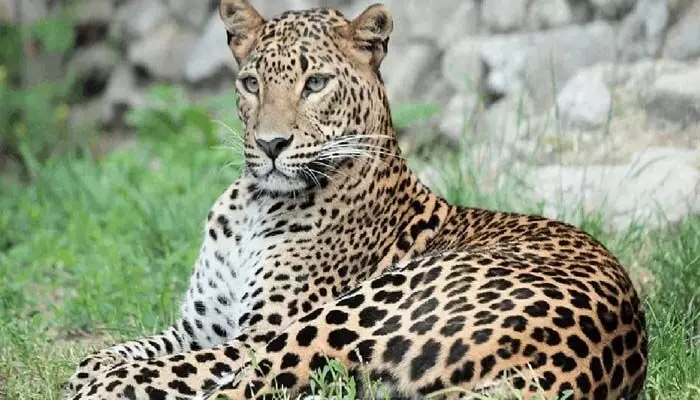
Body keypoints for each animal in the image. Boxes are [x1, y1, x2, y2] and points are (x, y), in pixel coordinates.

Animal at [66, 1, 648, 399]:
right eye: (251, 84)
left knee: (244, 388)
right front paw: (101, 368)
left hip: (344, 318)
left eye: (316, 83)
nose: (270, 145)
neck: (254, 204)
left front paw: (104, 383)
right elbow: (117, 350)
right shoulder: (195, 326)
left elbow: (148, 367)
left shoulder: (255, 334)